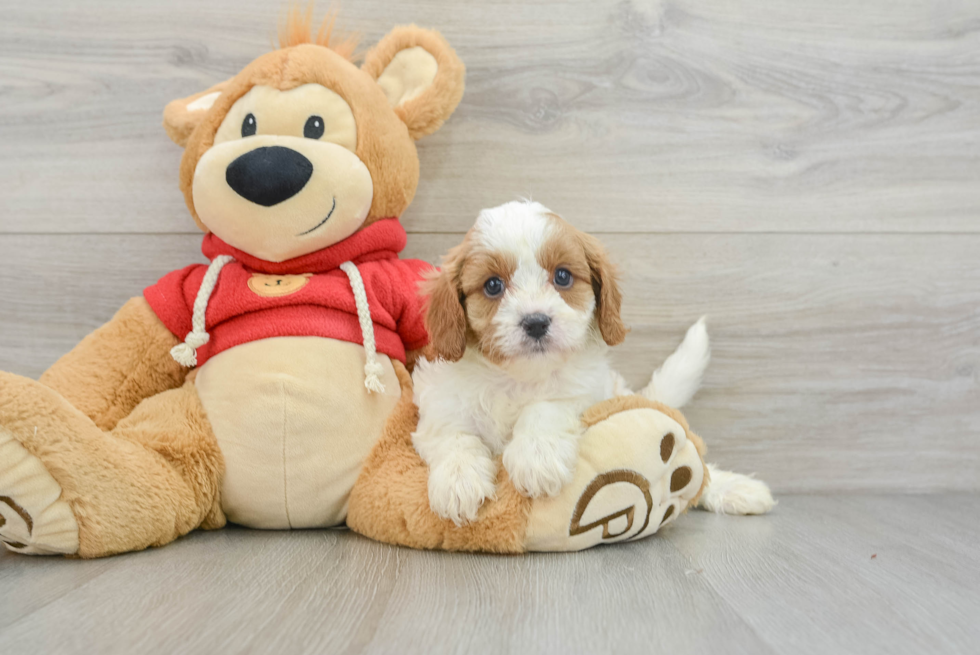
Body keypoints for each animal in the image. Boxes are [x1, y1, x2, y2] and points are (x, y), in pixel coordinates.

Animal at [410, 199, 768, 524]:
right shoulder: (440, 404)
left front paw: (537, 456)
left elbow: (546, 407)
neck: (520, 378)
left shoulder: (586, 393)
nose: (536, 322)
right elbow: (453, 436)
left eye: (563, 276)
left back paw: (736, 489)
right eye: (493, 285)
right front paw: (458, 481)